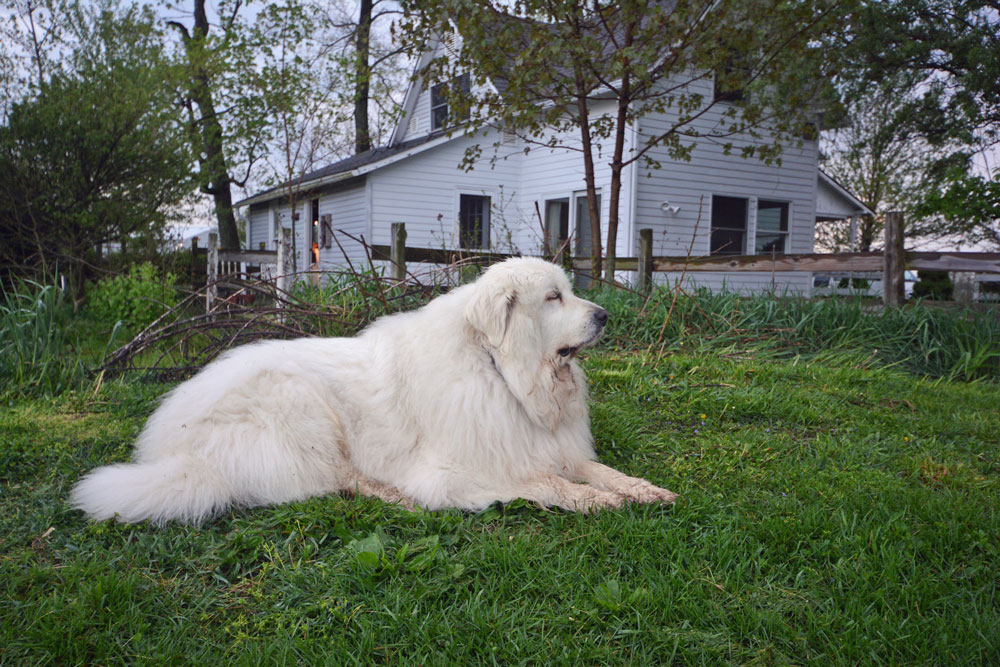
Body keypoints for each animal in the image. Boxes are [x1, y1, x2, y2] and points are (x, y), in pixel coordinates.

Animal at [72, 258, 680, 524]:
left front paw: (641, 489)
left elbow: (593, 468)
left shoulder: (548, 445)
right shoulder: (463, 471)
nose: (604, 315)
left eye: (569, 292)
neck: (503, 375)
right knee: (337, 483)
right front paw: (597, 501)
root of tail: (173, 452)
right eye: (553, 297)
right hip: (301, 407)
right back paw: (394, 496)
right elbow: (548, 484)